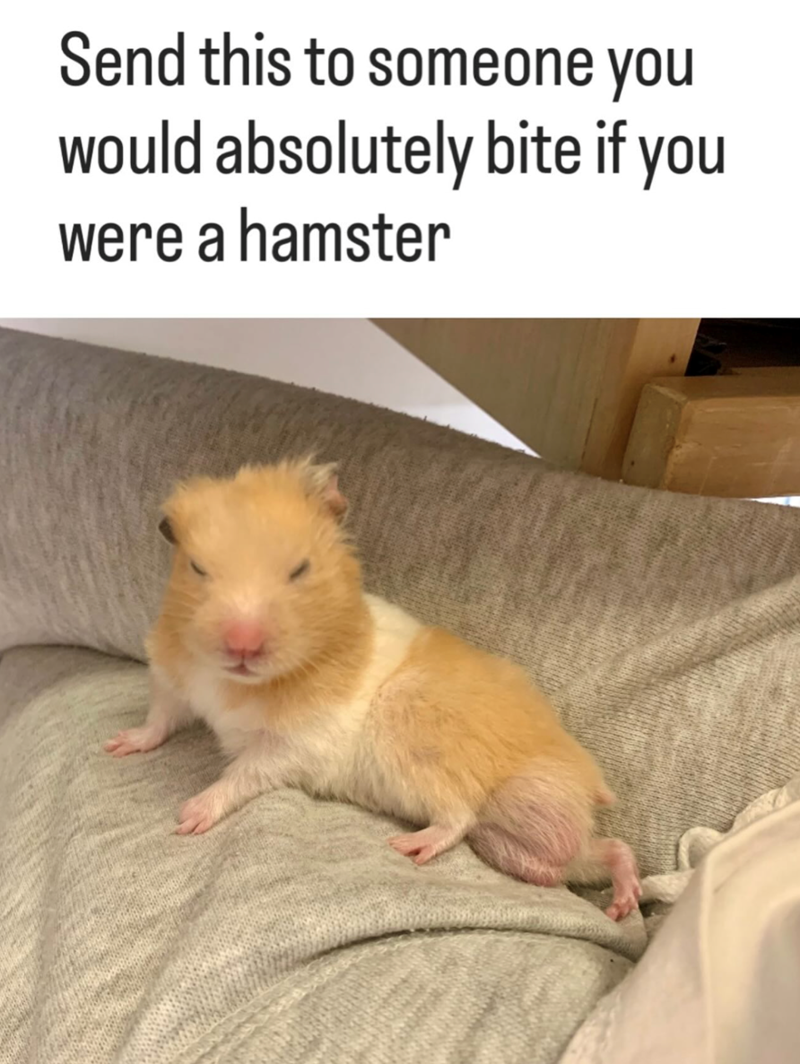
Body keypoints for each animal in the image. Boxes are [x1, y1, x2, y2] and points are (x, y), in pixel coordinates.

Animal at [104, 458, 642, 921]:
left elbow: (239, 775)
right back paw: (623, 902)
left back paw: (411, 847)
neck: (233, 680)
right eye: (197, 568)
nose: (242, 645)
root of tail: (586, 783)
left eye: (299, 570)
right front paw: (118, 745)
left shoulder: (292, 747)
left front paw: (188, 815)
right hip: (527, 830)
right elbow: (158, 720)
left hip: (439, 756)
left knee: (460, 817)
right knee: (596, 852)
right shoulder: (172, 679)